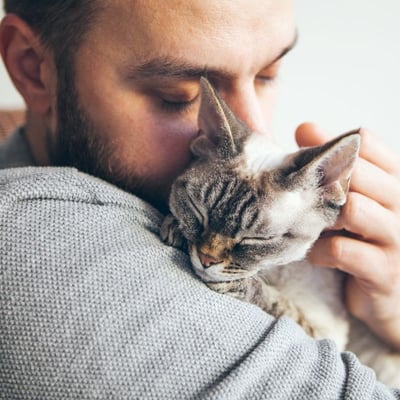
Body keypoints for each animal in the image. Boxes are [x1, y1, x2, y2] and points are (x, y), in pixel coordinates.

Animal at [161, 76, 400, 386]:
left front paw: (241, 284)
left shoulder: (326, 332)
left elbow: (279, 303)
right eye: (197, 211)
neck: (274, 269)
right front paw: (176, 228)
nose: (206, 260)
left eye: (257, 239)